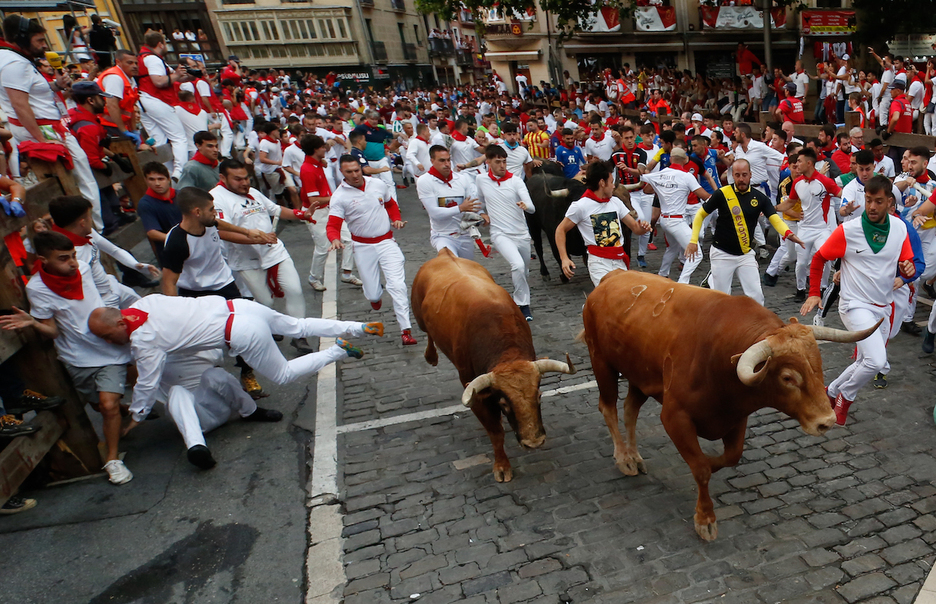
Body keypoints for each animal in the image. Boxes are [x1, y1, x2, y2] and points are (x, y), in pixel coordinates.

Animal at [412, 249, 576, 482]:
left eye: (539, 396)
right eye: (504, 404)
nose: (533, 442)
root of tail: (445, 253)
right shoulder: (472, 388)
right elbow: (495, 431)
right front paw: (502, 466)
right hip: (418, 317)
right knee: (427, 334)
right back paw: (430, 356)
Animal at [580, 272, 880, 540]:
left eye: (818, 364)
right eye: (787, 377)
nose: (827, 420)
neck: (717, 357)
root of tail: (611, 276)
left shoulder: (736, 417)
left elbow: (728, 457)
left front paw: (712, 464)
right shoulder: (674, 417)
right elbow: (700, 469)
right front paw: (705, 519)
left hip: (638, 377)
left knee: (630, 410)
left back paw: (635, 455)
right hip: (602, 362)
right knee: (608, 408)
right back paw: (624, 458)